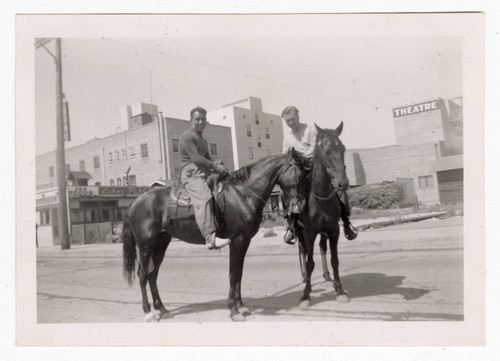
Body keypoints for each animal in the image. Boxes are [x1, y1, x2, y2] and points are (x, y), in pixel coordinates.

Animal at [122, 149, 306, 320]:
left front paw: (241, 306)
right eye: (299, 173)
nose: (301, 205)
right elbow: (233, 274)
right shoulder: (237, 240)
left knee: (152, 275)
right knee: (142, 274)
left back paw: (162, 309)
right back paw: (148, 312)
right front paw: (233, 310)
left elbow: (239, 273)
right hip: (145, 244)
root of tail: (134, 203)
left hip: (161, 243)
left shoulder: (244, 241)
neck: (243, 193)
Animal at [294, 121, 350, 306]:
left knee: (322, 247)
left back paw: (327, 276)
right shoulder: (309, 232)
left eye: (343, 148)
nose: (342, 183)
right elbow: (310, 262)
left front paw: (339, 290)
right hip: (300, 232)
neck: (321, 197)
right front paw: (306, 295)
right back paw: (305, 277)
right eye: (326, 151)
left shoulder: (333, 230)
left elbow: (334, 260)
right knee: (303, 251)